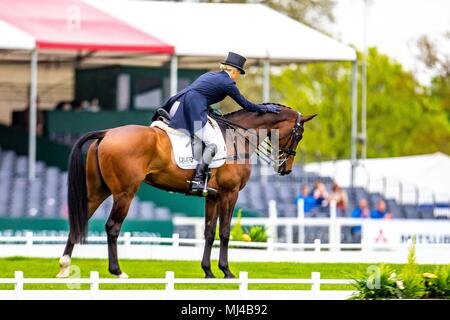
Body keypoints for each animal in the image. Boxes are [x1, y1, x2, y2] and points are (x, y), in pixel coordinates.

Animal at [56, 104, 316, 278]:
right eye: (299, 135)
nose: (286, 170)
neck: (238, 137)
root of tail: (107, 133)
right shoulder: (229, 194)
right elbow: (225, 233)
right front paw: (227, 272)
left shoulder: (212, 196)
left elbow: (210, 232)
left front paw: (208, 272)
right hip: (124, 194)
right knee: (112, 227)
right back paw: (118, 271)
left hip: (98, 191)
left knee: (79, 221)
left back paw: (64, 267)